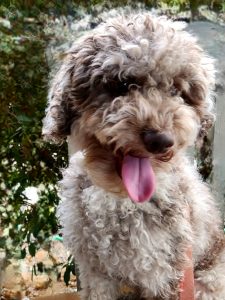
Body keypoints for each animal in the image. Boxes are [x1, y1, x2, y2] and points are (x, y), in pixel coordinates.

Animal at [42, 12, 225, 298]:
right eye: (122, 84)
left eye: (177, 91)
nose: (161, 140)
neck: (121, 198)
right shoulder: (95, 273)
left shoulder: (165, 270)